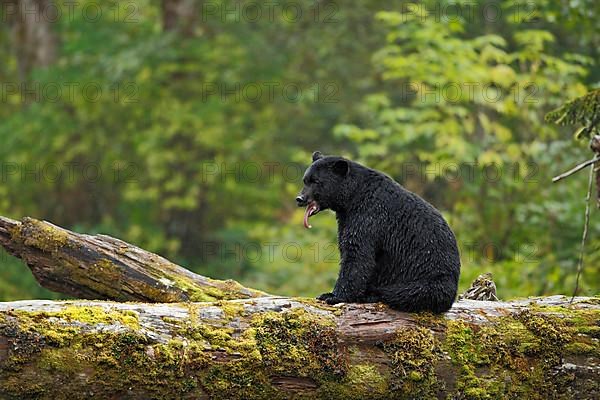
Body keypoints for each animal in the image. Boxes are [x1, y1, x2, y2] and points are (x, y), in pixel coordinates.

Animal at [298, 152, 462, 314]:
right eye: (305, 180)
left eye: (316, 181)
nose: (300, 199)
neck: (353, 196)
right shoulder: (347, 218)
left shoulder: (369, 216)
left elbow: (358, 255)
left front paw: (332, 295)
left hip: (429, 281)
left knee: (402, 293)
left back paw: (370, 294)